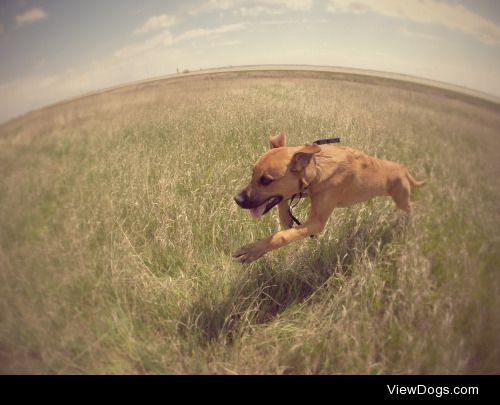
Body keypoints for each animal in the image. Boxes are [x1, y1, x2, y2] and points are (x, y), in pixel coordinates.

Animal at [232, 133, 424, 264]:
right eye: (252, 174)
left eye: (266, 180)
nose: (237, 199)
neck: (316, 168)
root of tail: (403, 169)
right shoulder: (303, 191)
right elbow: (284, 207)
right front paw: (285, 217)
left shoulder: (316, 222)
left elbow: (281, 236)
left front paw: (254, 250)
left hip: (402, 200)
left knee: (411, 209)